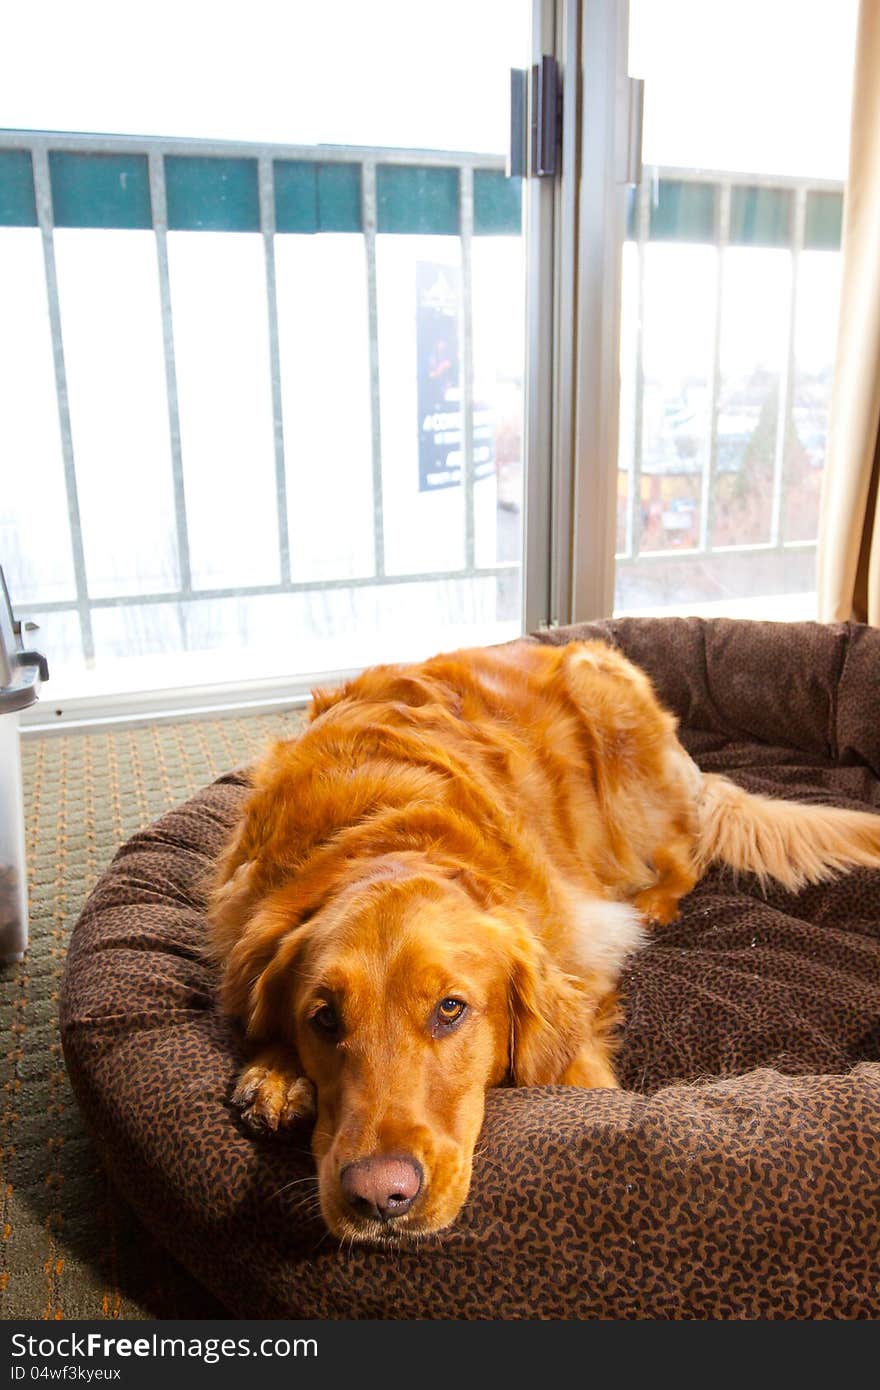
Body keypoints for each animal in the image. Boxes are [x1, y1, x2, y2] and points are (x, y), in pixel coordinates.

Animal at [207, 639, 880, 1239]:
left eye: (451, 1009)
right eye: (323, 1018)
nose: (379, 1195)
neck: (382, 830)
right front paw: (276, 1074)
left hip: (616, 742)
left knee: (683, 854)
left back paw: (655, 903)